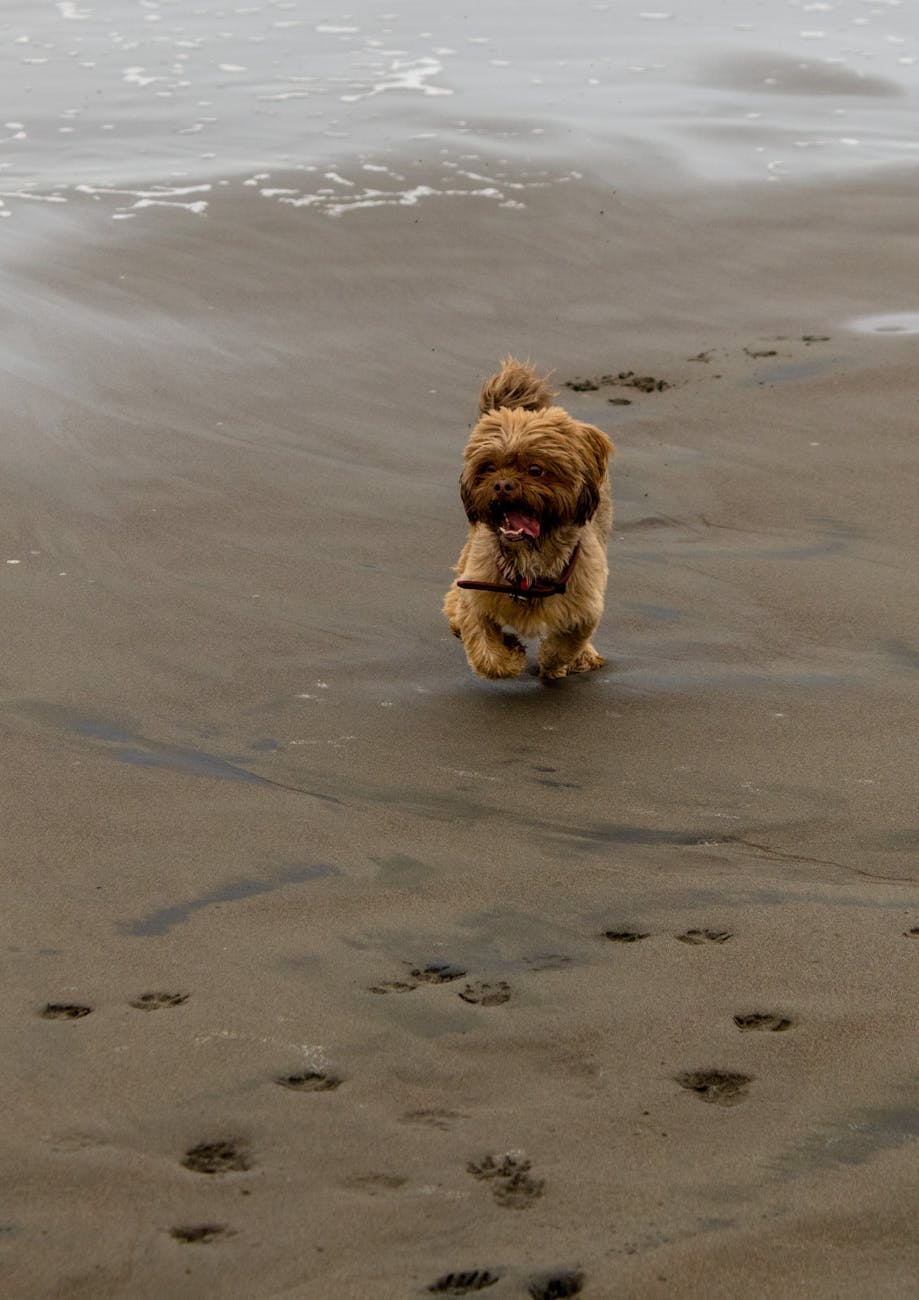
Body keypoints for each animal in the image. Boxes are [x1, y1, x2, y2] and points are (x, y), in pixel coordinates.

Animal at [441, 356, 613, 681]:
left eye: (536, 469)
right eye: (488, 468)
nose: (502, 485)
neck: (527, 570)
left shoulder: (584, 606)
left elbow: (566, 643)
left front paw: (553, 664)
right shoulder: (476, 592)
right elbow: (485, 653)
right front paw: (511, 654)